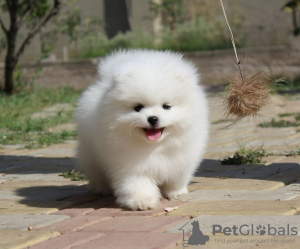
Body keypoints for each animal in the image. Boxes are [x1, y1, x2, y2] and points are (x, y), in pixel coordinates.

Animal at [76, 50, 209, 210]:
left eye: (166, 106)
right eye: (138, 107)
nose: (152, 118)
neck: (155, 147)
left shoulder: (182, 158)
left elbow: (177, 176)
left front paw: (176, 191)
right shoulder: (130, 163)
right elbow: (137, 182)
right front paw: (141, 201)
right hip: (91, 153)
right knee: (96, 172)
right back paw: (100, 188)